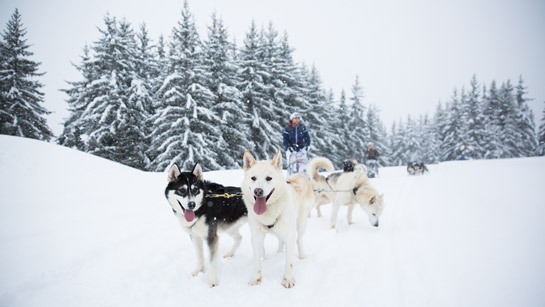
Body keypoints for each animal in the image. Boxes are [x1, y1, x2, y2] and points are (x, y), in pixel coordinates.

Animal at [241, 149, 312, 288]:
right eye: (253, 178)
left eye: (269, 178)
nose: (258, 191)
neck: (269, 213)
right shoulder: (256, 237)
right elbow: (257, 261)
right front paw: (256, 278)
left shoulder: (289, 235)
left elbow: (289, 262)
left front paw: (288, 279)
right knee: (280, 241)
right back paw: (279, 252)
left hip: (300, 226)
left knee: (299, 240)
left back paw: (301, 255)